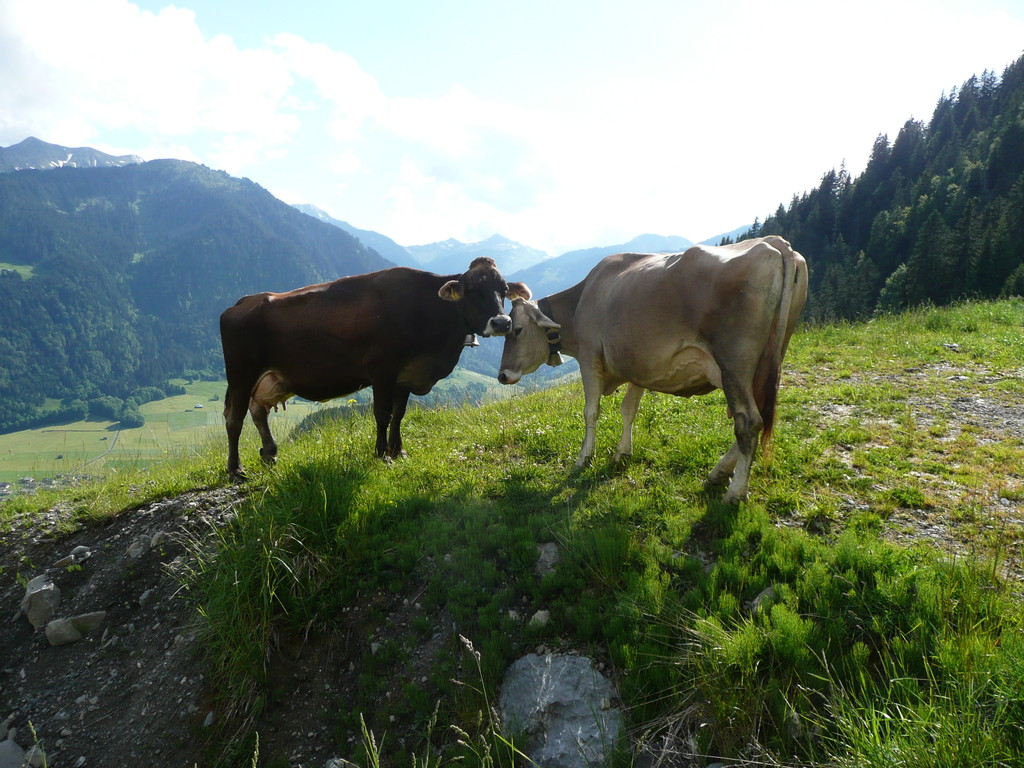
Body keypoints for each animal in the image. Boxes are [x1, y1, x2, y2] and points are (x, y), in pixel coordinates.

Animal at [220, 257, 523, 478]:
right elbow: (382, 414)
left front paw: (399, 451)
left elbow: (399, 414)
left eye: (504, 291)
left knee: (258, 411)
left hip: (267, 379)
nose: (502, 322)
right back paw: (235, 469)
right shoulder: (382, 370)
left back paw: (270, 453)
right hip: (240, 375)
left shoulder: (406, 375)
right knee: (235, 419)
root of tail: (243, 301)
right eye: (472, 291)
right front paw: (381, 455)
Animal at [497, 236, 808, 503]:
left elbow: (591, 410)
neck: (580, 301)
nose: (502, 375)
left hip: (734, 364)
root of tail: (775, 242)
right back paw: (718, 474)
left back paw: (735, 492)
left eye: (517, 330)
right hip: (766, 362)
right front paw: (622, 453)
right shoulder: (639, 366)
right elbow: (629, 409)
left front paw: (584, 458)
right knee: (760, 417)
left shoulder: (589, 357)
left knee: (749, 421)